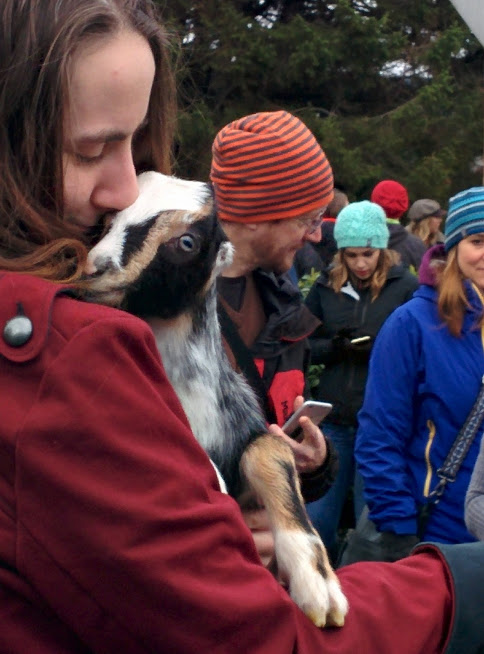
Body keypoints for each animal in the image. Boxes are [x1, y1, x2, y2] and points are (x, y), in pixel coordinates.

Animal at [85, 171, 348, 628]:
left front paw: (320, 589)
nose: (96, 268)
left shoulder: (246, 428)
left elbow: (270, 450)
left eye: (188, 242)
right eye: (108, 220)